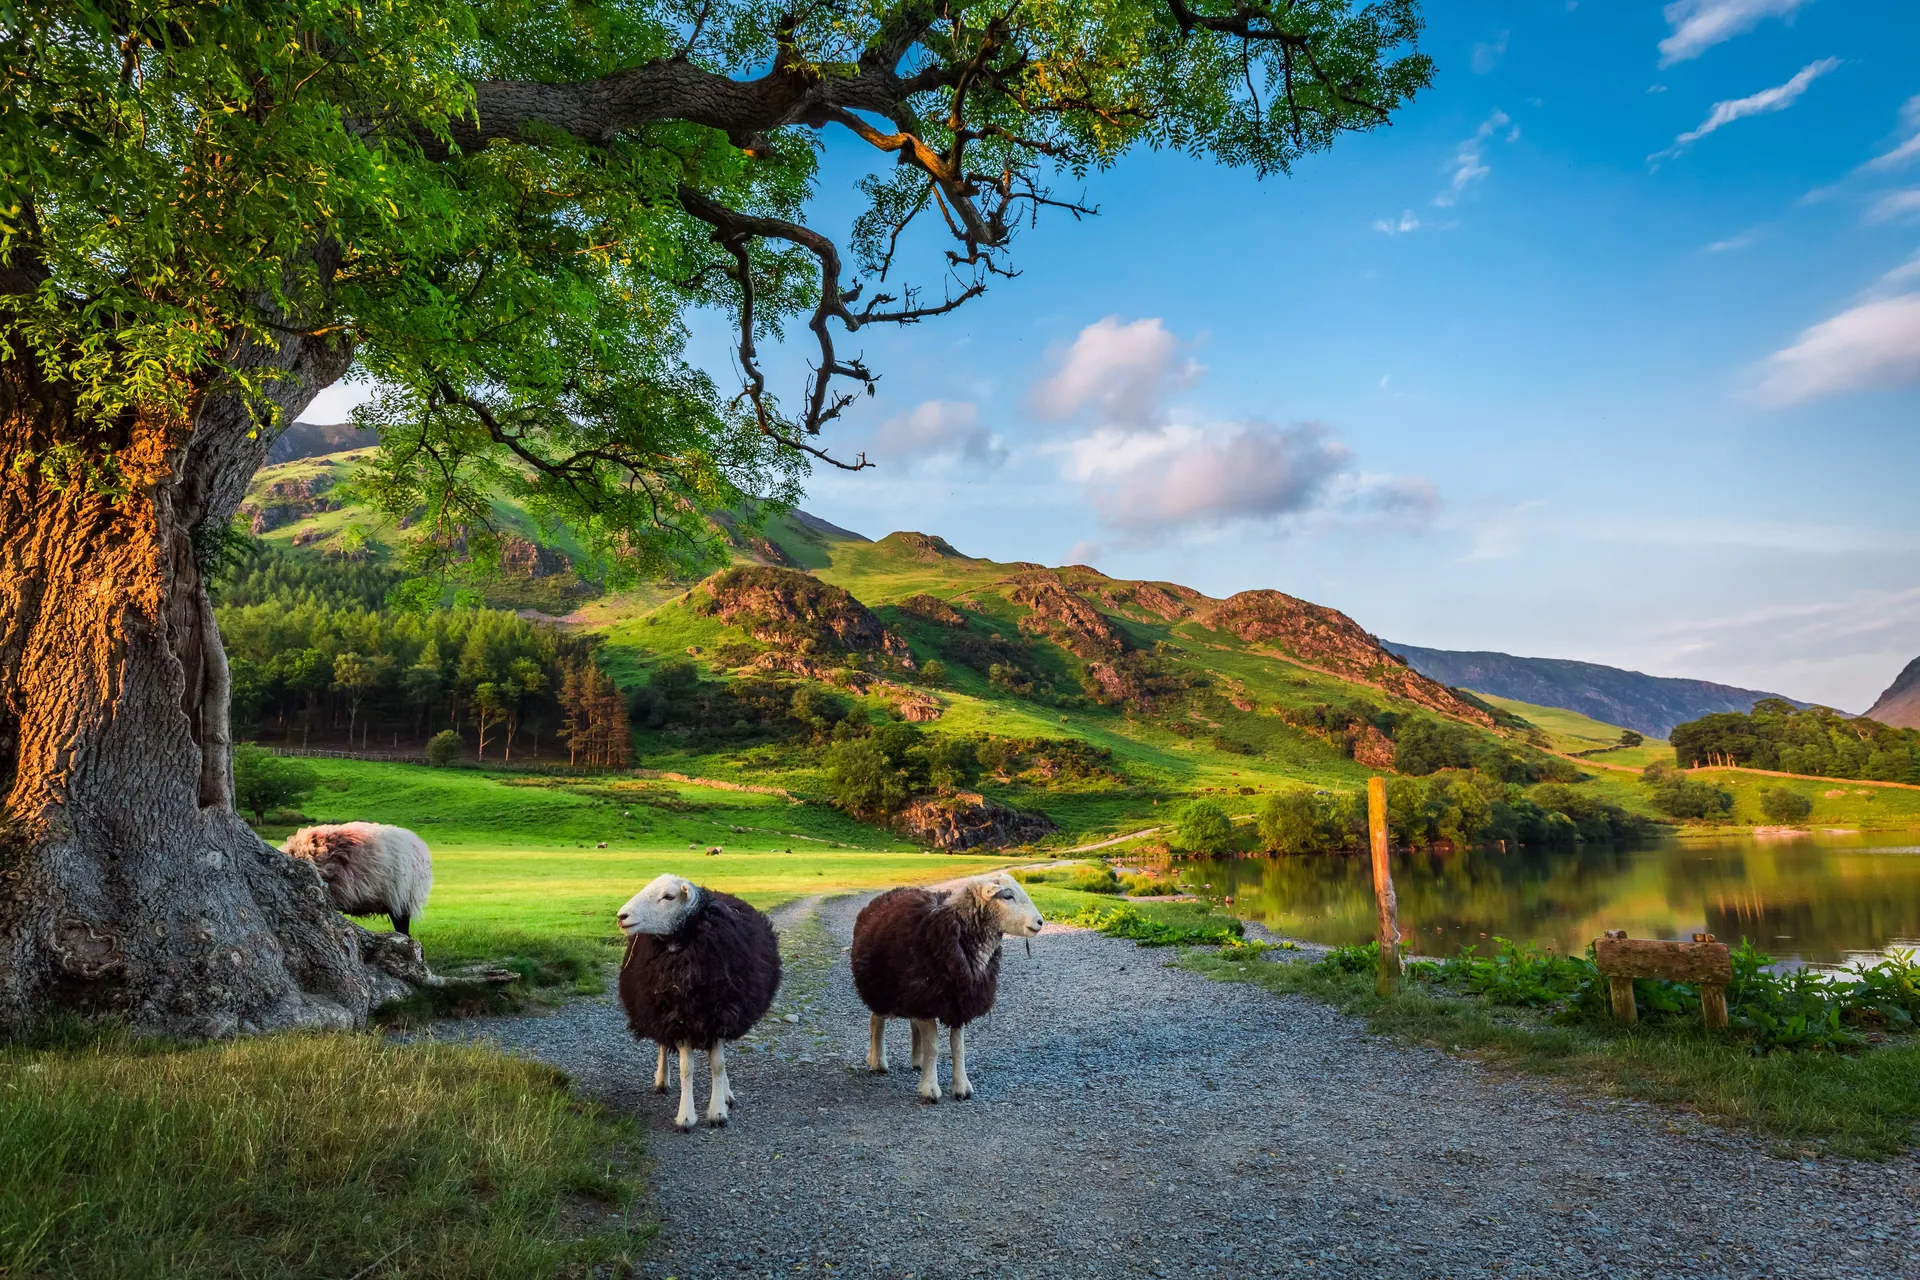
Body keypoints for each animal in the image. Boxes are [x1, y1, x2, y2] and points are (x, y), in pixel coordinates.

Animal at [616, 873, 782, 1130]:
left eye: (668, 896)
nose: (621, 916)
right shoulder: (678, 1018)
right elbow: (687, 1069)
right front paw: (686, 1116)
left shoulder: (722, 1015)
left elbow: (718, 1065)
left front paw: (718, 1112)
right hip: (659, 1011)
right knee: (662, 1044)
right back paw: (662, 1080)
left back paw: (727, 1094)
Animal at [850, 871, 1043, 1103]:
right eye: (1007, 896)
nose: (1040, 922)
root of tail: (888, 893)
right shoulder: (929, 998)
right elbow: (933, 1047)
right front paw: (930, 1089)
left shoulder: (957, 1001)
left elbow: (958, 1047)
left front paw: (962, 1088)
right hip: (881, 988)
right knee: (876, 1021)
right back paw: (878, 1062)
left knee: (911, 1024)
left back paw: (917, 1060)